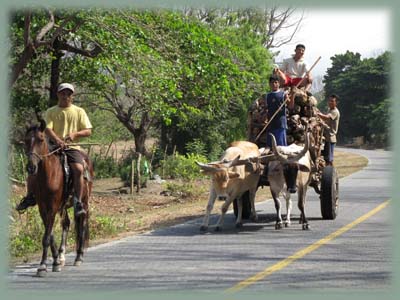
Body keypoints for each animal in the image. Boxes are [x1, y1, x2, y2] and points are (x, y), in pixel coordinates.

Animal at [24, 117, 94, 276]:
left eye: (41, 139)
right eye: (26, 140)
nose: (31, 167)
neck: (48, 175)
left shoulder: (52, 206)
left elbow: (46, 237)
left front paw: (43, 266)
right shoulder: (43, 208)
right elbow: (49, 235)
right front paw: (55, 261)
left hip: (84, 201)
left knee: (82, 223)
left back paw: (79, 257)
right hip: (64, 206)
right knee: (67, 224)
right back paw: (62, 256)